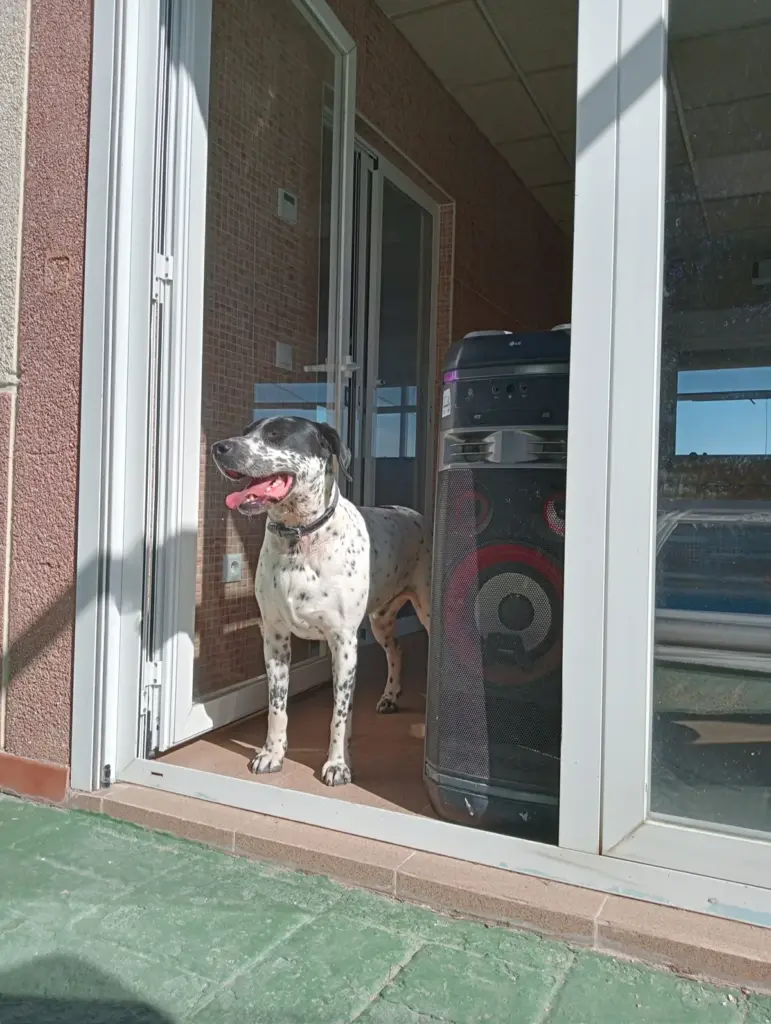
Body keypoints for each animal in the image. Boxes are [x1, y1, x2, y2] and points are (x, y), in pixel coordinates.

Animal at [211, 415, 431, 786]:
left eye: (277, 434)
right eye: (244, 432)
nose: (218, 446)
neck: (299, 538)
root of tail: (416, 514)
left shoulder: (343, 643)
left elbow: (339, 715)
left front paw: (338, 764)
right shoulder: (275, 639)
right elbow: (277, 708)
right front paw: (272, 754)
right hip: (381, 620)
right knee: (397, 651)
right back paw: (389, 696)